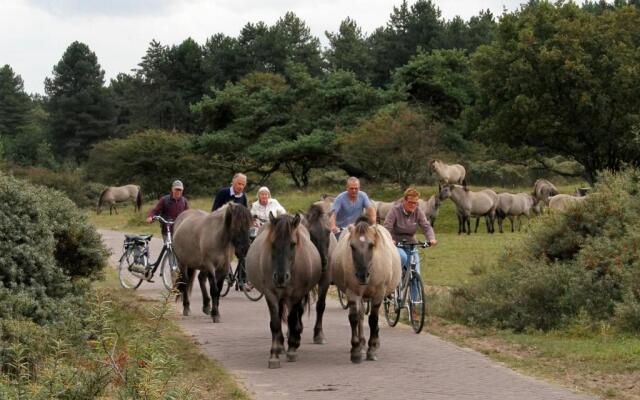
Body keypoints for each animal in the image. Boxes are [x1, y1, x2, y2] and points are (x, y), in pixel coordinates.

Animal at [248, 212, 322, 368]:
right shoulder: (271, 294)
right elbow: (275, 323)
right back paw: (282, 345)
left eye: (292, 244)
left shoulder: (296, 295)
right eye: (273, 243)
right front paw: (274, 354)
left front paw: (292, 349)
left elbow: (292, 319)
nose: (281, 277)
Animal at [302, 205, 338, 346]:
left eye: (328, 232)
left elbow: (320, 305)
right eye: (311, 233)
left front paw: (318, 335)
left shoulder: (325, 280)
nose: (323, 262)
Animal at [330, 217, 400, 364]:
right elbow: (354, 318)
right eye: (352, 246)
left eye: (371, 245)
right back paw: (362, 343)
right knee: (361, 316)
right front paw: (356, 350)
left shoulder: (378, 294)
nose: (362, 275)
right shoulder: (352, 293)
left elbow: (373, 320)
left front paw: (372, 349)